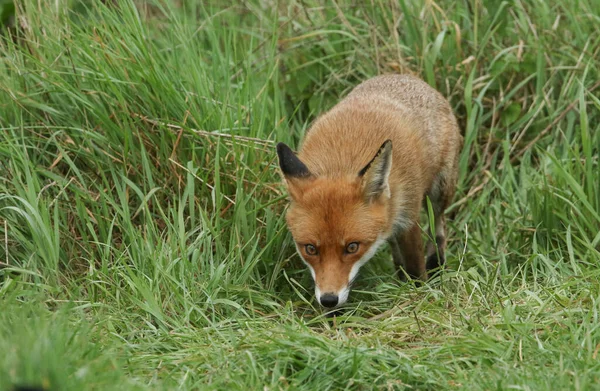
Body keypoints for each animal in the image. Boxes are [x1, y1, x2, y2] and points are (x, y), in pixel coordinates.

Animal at [276, 74, 464, 310]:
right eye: (310, 249)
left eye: (352, 247)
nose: (328, 300)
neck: (340, 162)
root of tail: (406, 76)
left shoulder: (408, 217)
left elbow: (415, 265)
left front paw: (419, 294)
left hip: (441, 190)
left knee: (439, 225)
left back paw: (437, 263)